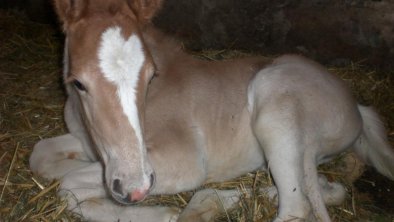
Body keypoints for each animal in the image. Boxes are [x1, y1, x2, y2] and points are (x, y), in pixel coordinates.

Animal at [28, 0, 394, 222]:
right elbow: (41, 157)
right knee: (309, 187)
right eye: (78, 83)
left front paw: (162, 214)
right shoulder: (91, 145)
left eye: (151, 74)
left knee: (296, 207)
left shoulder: (183, 161)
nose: (134, 189)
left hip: (273, 97)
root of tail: (357, 106)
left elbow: (69, 187)